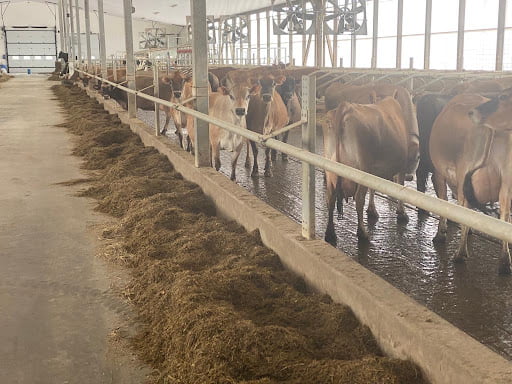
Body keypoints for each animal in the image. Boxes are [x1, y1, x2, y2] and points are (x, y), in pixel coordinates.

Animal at [324, 91, 412, 244]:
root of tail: (345, 107)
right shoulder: (401, 165)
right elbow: (400, 186)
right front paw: (402, 213)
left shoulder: (373, 170)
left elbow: (373, 188)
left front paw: (372, 211)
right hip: (361, 171)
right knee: (359, 199)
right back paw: (363, 233)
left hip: (330, 171)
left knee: (330, 198)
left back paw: (330, 233)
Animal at [432, 88, 512, 272]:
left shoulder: (439, 174)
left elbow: (443, 201)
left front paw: (440, 234)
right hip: (507, 180)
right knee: (505, 214)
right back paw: (505, 261)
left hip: (464, 174)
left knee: (464, 208)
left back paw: (460, 254)